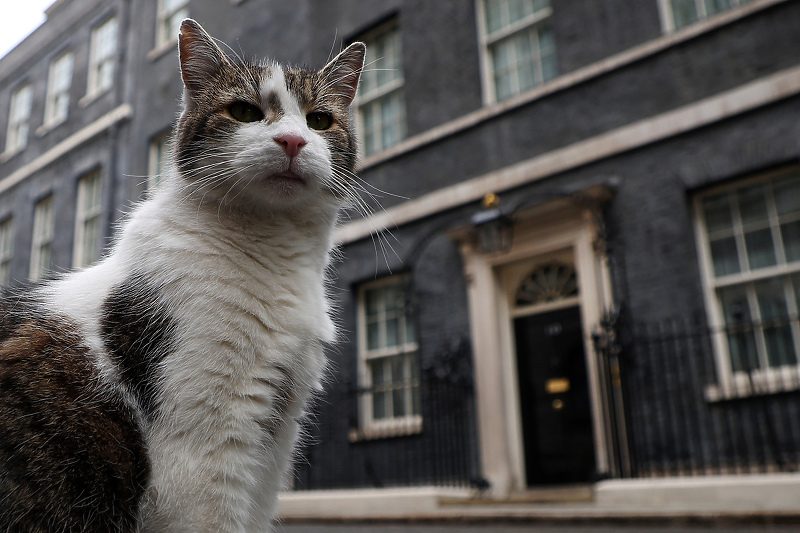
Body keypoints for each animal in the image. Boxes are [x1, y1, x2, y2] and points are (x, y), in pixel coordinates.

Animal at [0, 18, 368, 528]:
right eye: (244, 111)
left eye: (319, 121)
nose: (293, 141)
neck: (275, 253)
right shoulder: (205, 454)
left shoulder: (271, 451)